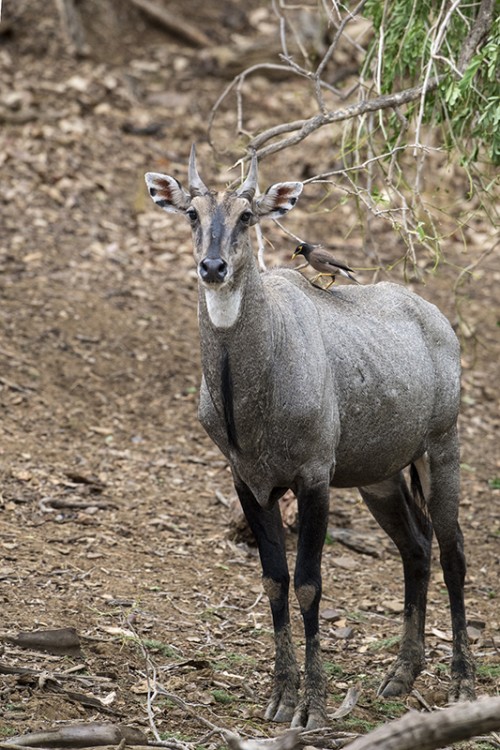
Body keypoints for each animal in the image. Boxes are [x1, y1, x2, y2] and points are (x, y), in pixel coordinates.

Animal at [146, 150, 476, 732]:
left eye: (247, 216)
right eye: (191, 213)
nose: (213, 267)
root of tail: (436, 318)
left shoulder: (314, 477)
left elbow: (308, 583)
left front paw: (312, 706)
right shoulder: (248, 482)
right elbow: (274, 581)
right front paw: (280, 696)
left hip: (442, 447)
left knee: (452, 549)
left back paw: (461, 681)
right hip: (380, 476)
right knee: (416, 546)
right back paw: (400, 676)